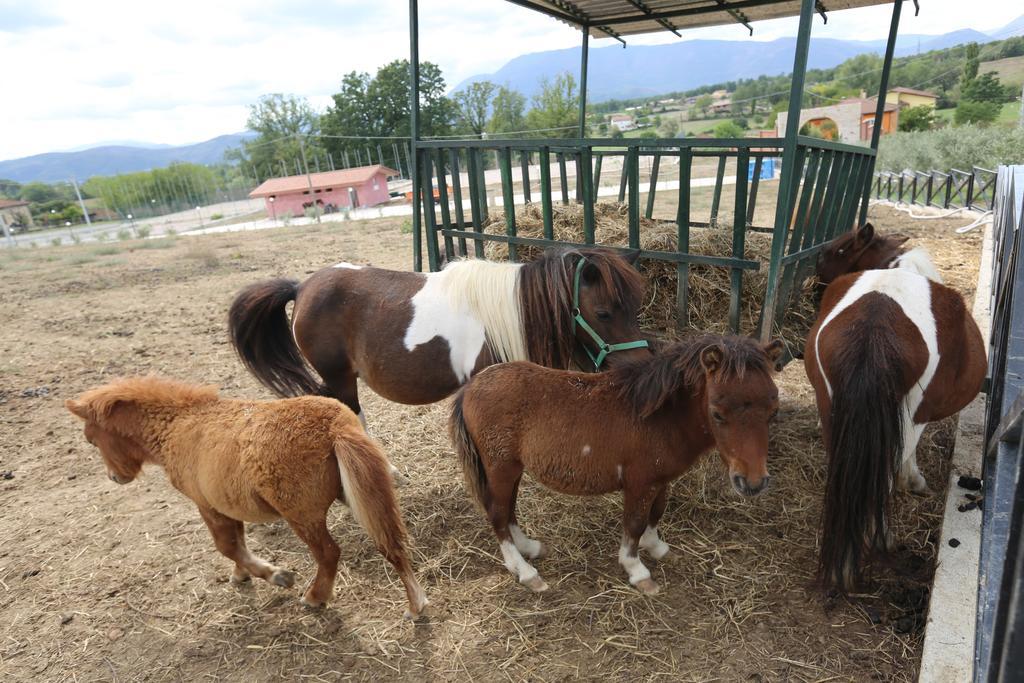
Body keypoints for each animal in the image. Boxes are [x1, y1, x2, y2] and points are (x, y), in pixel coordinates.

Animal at [67, 376, 428, 618]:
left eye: (91, 440)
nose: (115, 477)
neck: (178, 426)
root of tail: (335, 427)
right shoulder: (226, 502)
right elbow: (237, 543)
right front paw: (241, 575)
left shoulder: (207, 505)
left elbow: (227, 546)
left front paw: (276, 576)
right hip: (364, 491)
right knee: (391, 541)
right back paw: (416, 604)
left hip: (303, 515)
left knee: (329, 553)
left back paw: (315, 597)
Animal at [231, 248, 647, 423]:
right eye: (604, 312)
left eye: (635, 307)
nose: (638, 365)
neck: (504, 313)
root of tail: (301, 288)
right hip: (340, 378)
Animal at [450, 333, 782, 593]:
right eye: (717, 413)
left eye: (773, 411)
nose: (753, 483)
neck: (659, 417)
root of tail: (471, 387)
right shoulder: (639, 483)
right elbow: (634, 524)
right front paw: (637, 571)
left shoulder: (659, 479)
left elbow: (656, 513)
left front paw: (658, 548)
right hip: (500, 467)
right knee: (497, 513)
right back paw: (526, 572)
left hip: (512, 468)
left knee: (508, 509)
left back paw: (530, 548)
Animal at [802, 248, 987, 589]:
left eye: (834, 254)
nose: (813, 290)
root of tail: (875, 323)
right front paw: (913, 480)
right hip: (910, 418)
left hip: (832, 414)